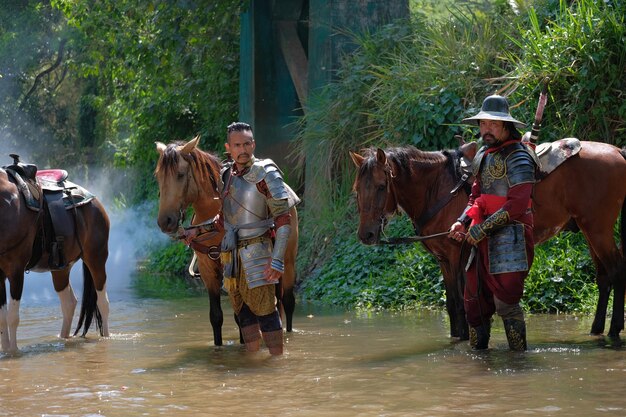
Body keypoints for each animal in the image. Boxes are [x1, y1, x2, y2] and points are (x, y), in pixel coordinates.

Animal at [0, 154, 109, 350]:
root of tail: (95, 201)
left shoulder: (16, 271)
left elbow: (12, 318)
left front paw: (13, 352)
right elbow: (2, 320)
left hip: (97, 259)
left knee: (103, 302)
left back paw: (107, 338)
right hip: (61, 268)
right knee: (69, 303)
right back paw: (64, 339)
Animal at [152, 136, 296, 344]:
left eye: (180, 174)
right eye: (158, 176)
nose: (166, 222)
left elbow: (241, 315)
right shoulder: (207, 270)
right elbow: (216, 316)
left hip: (288, 260)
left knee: (288, 302)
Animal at [348, 138, 624, 340]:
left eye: (381, 186)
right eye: (357, 189)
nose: (366, 234)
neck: (437, 187)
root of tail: (618, 153)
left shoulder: (455, 254)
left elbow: (460, 304)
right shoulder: (443, 260)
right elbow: (452, 306)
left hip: (598, 229)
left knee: (616, 271)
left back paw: (613, 331)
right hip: (588, 230)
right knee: (603, 278)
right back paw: (597, 329)